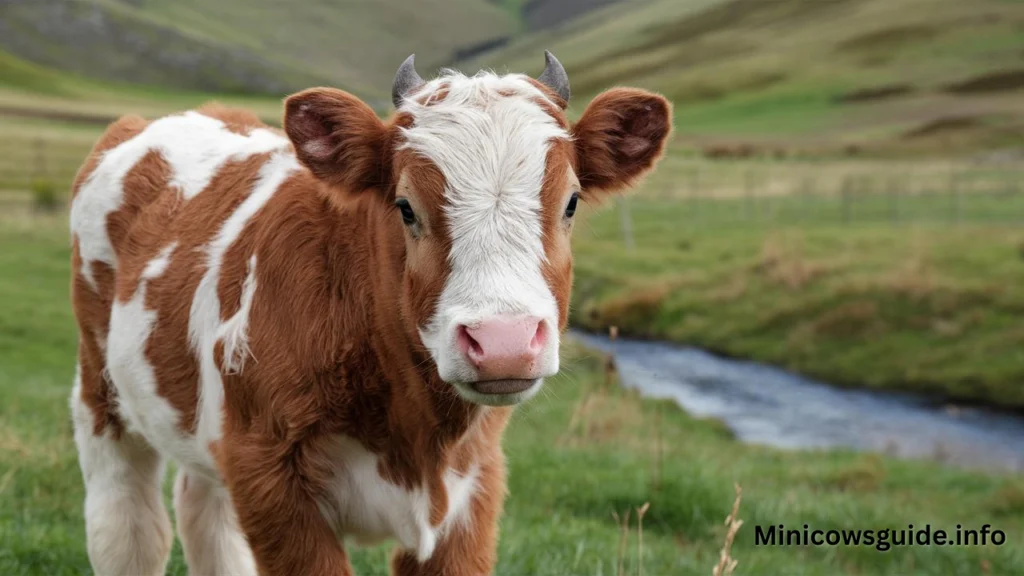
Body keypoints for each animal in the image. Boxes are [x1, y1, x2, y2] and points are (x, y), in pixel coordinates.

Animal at [70, 53, 671, 573]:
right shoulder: (270, 481)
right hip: (102, 390)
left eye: (571, 202)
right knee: (128, 527)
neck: (415, 433)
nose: (505, 342)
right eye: (405, 207)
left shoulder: (473, 492)